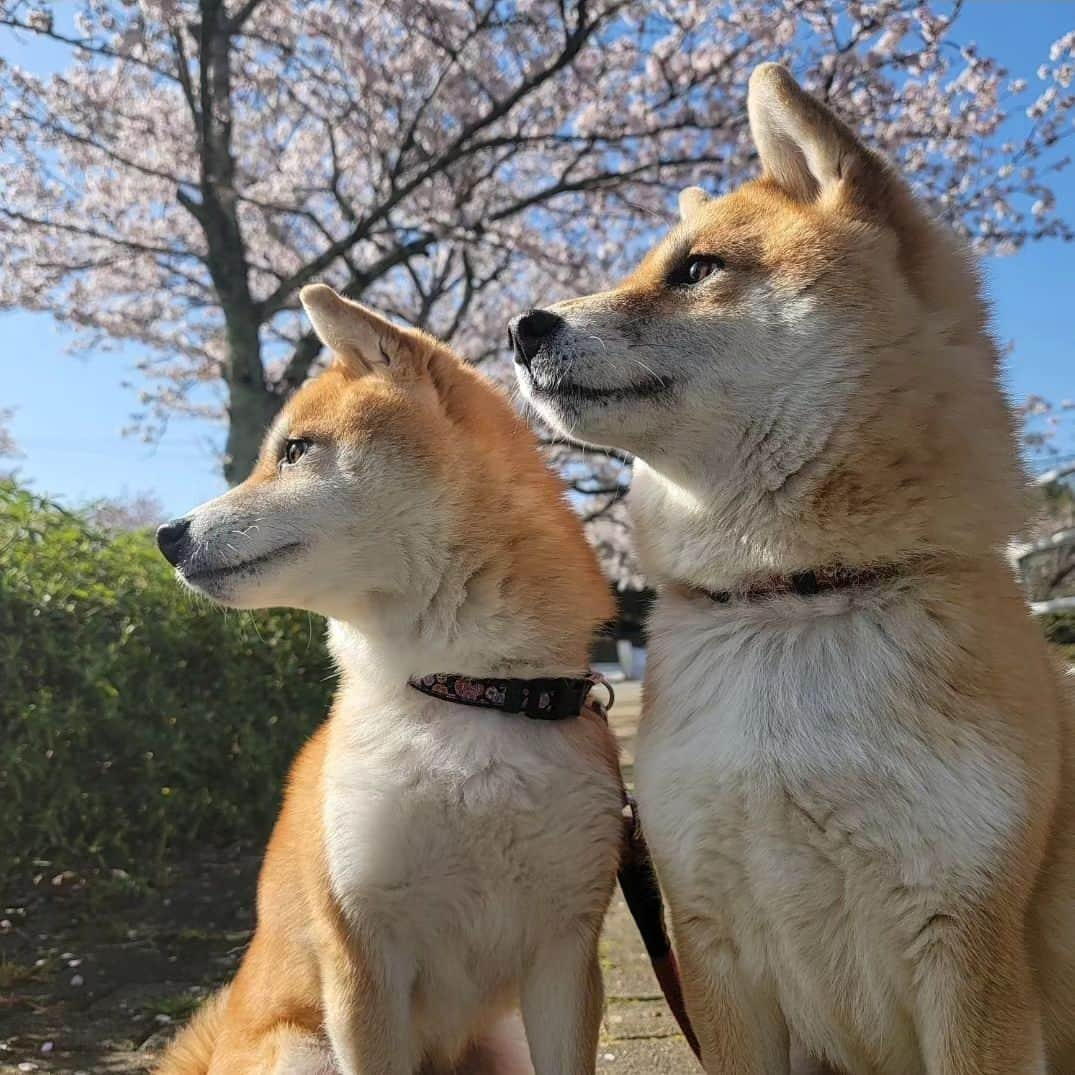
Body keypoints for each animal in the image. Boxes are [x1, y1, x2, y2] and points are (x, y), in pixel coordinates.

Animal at [151, 288, 623, 1075]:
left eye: (294, 450)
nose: (167, 534)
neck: (462, 688)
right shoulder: (362, 950)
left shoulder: (566, 946)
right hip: (304, 1049)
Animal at [509, 62, 1075, 1075]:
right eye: (648, 265)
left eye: (696, 269)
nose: (520, 326)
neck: (795, 597)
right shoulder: (712, 938)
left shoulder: (970, 947)